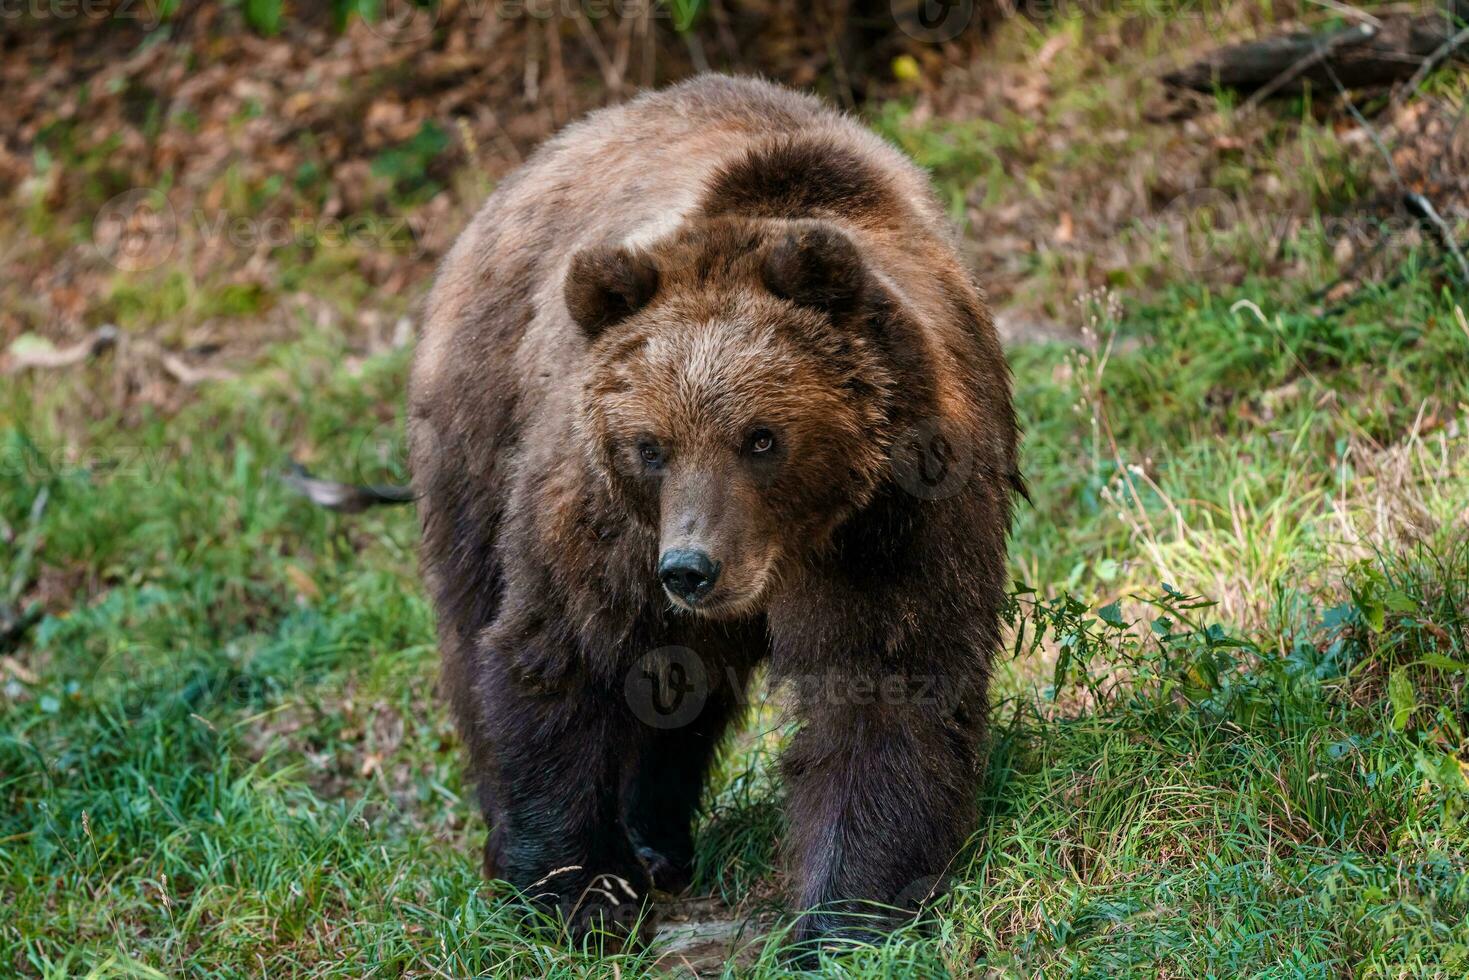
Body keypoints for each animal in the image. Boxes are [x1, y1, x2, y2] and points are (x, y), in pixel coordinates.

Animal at [405, 72, 1022, 946]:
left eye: (761, 438)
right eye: (649, 445)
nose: (691, 569)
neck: (794, 542)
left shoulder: (900, 512)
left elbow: (887, 682)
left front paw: (844, 914)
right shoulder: (606, 518)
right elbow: (564, 650)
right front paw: (579, 892)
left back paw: (658, 835)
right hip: (479, 426)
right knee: (478, 621)